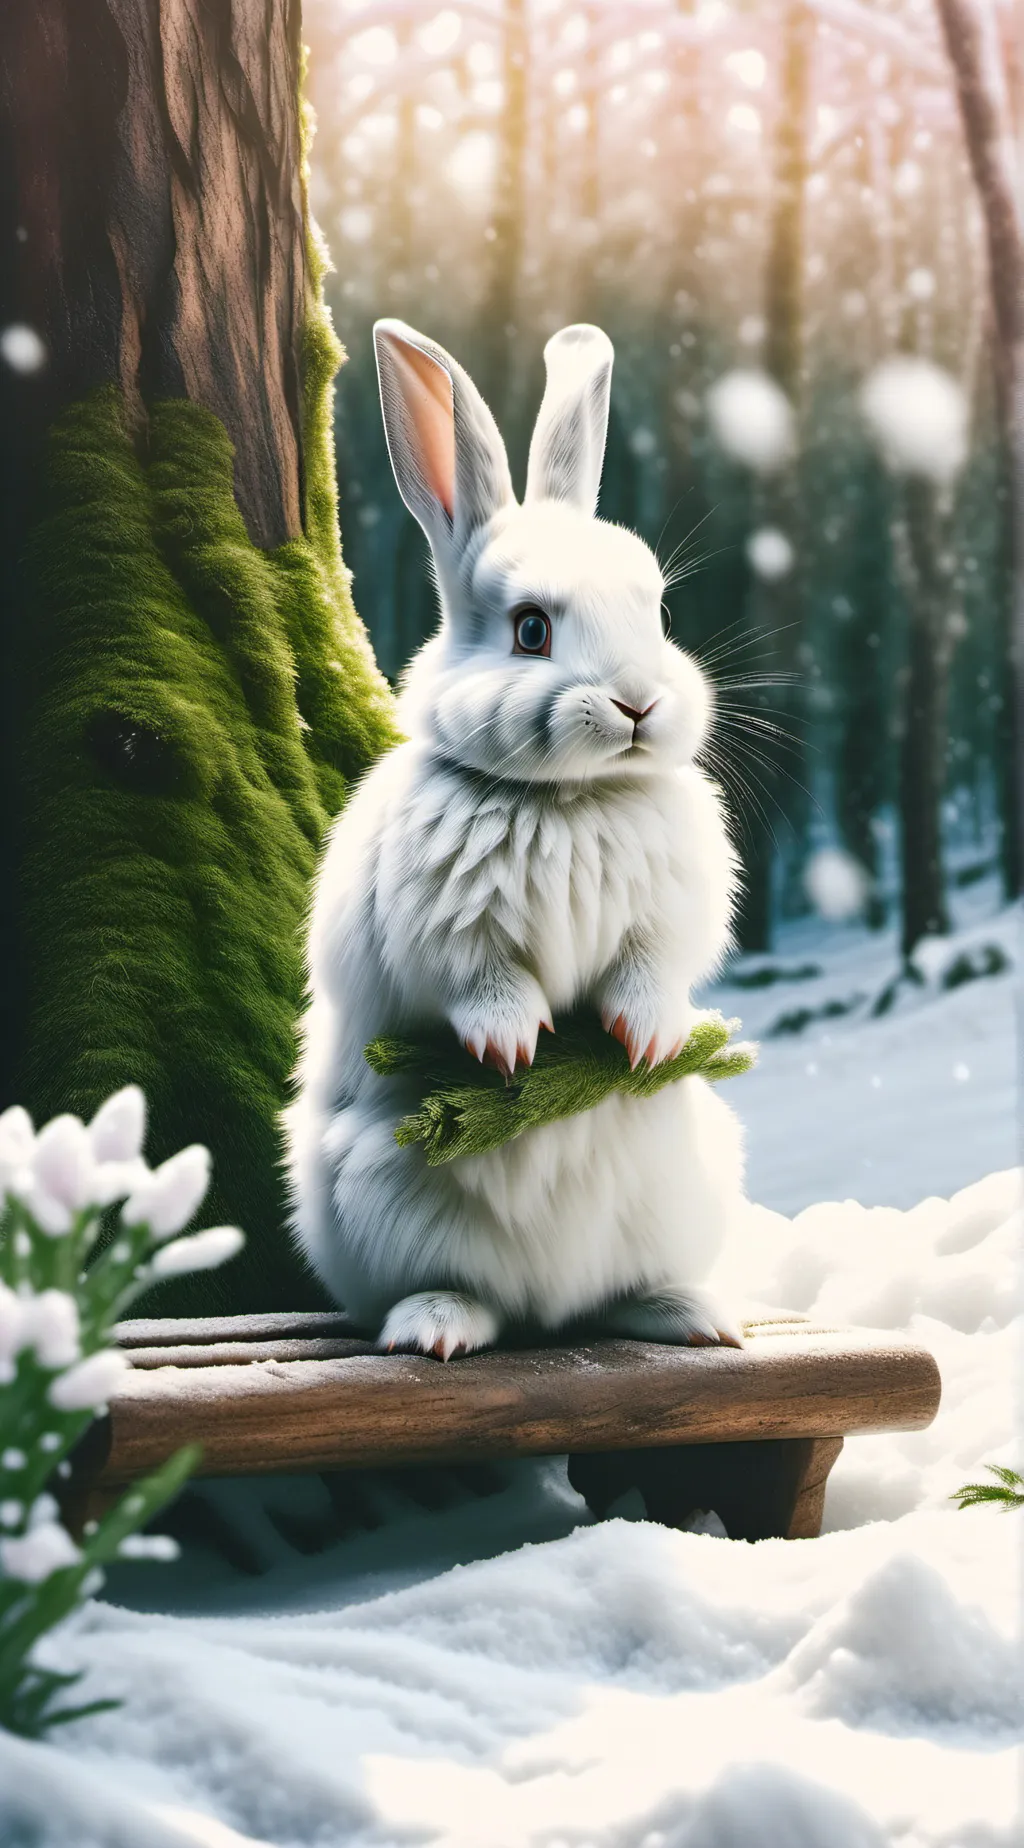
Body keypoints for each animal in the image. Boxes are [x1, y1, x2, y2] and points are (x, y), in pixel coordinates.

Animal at [283, 317, 749, 1360]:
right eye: (530, 630)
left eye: (659, 614)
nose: (638, 704)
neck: (570, 799)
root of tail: (549, 1311)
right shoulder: (446, 933)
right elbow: (480, 981)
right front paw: (515, 1050)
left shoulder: (668, 921)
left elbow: (654, 969)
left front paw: (648, 1038)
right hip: (383, 1202)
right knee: (459, 1294)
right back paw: (437, 1328)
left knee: (616, 1295)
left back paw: (694, 1317)